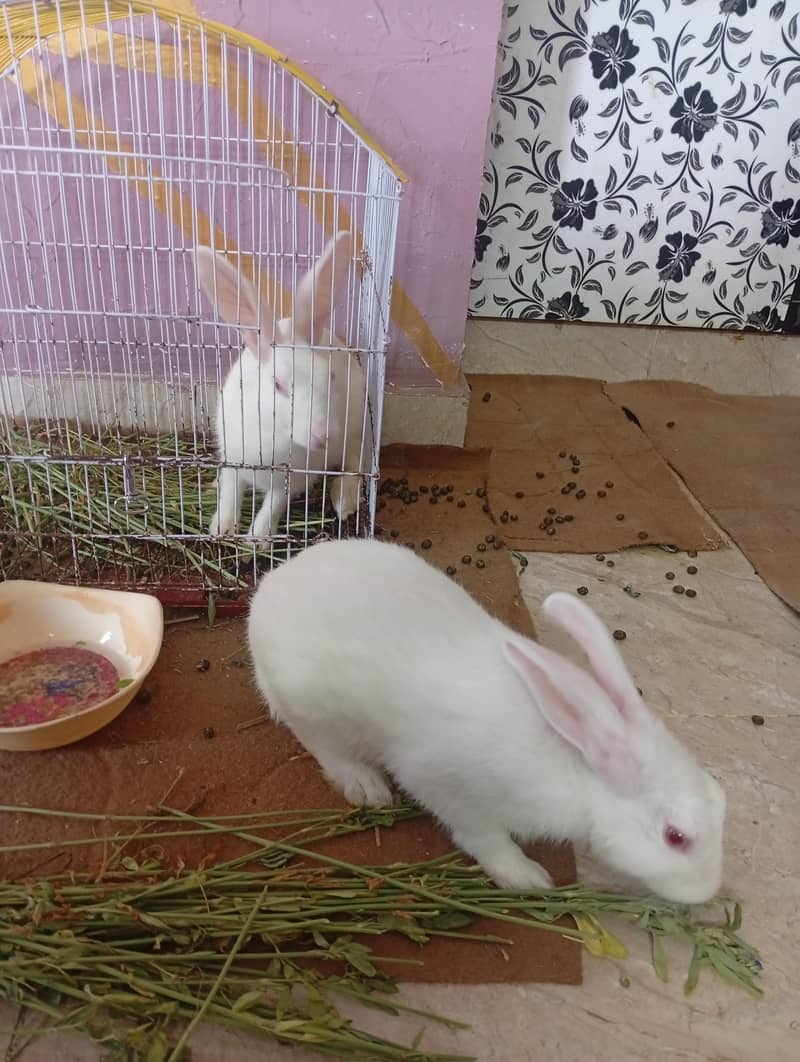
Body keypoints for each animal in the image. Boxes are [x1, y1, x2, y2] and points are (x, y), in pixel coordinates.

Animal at [195, 232, 367, 539]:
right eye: (277, 384)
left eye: (330, 377)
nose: (324, 435)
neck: (274, 434)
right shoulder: (233, 457)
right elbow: (230, 492)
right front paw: (222, 528)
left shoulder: (292, 479)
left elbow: (273, 505)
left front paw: (257, 539)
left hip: (353, 427)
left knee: (355, 459)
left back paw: (344, 500)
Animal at [247, 538, 726, 904]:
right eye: (676, 837)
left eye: (721, 798)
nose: (706, 893)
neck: (576, 768)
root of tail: (270, 589)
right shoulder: (451, 790)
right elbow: (483, 838)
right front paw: (527, 877)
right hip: (316, 709)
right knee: (323, 746)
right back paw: (368, 789)